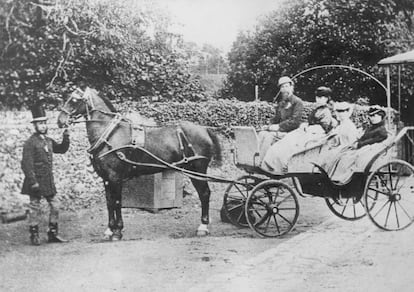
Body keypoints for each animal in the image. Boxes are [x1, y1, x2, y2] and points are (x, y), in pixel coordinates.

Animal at [57, 86, 223, 240]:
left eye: (74, 100)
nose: (60, 121)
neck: (110, 135)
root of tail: (205, 130)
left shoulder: (115, 177)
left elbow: (117, 202)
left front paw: (117, 231)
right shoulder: (106, 179)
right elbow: (109, 202)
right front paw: (109, 230)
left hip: (197, 170)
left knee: (204, 194)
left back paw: (203, 226)